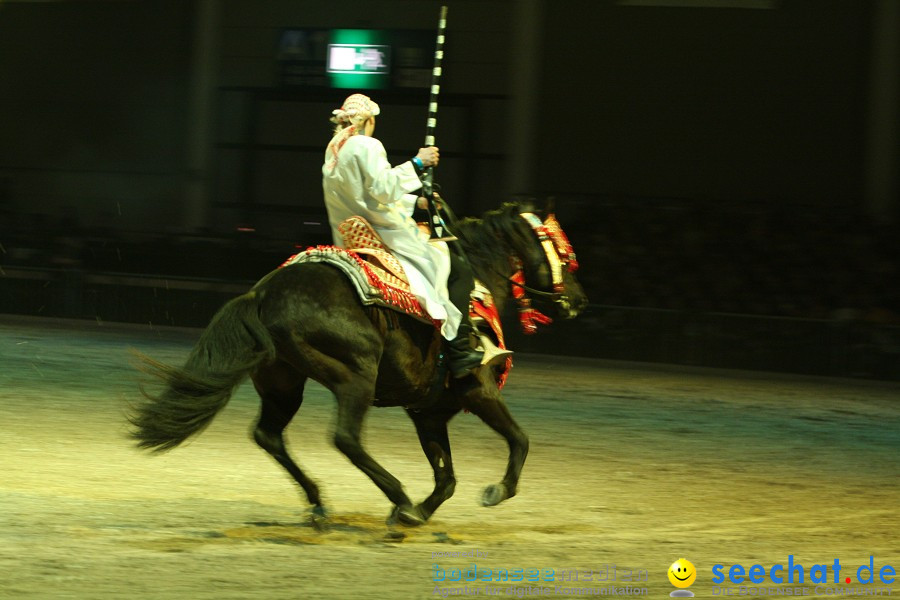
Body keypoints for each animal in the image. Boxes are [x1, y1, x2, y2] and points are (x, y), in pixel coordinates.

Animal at [128, 200, 592, 524]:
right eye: (566, 256)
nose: (578, 300)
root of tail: (263, 293)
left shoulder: (429, 412)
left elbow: (446, 478)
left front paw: (419, 513)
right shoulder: (478, 390)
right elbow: (519, 440)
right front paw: (493, 491)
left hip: (284, 383)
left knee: (269, 435)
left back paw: (321, 505)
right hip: (356, 375)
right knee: (346, 439)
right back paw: (396, 498)